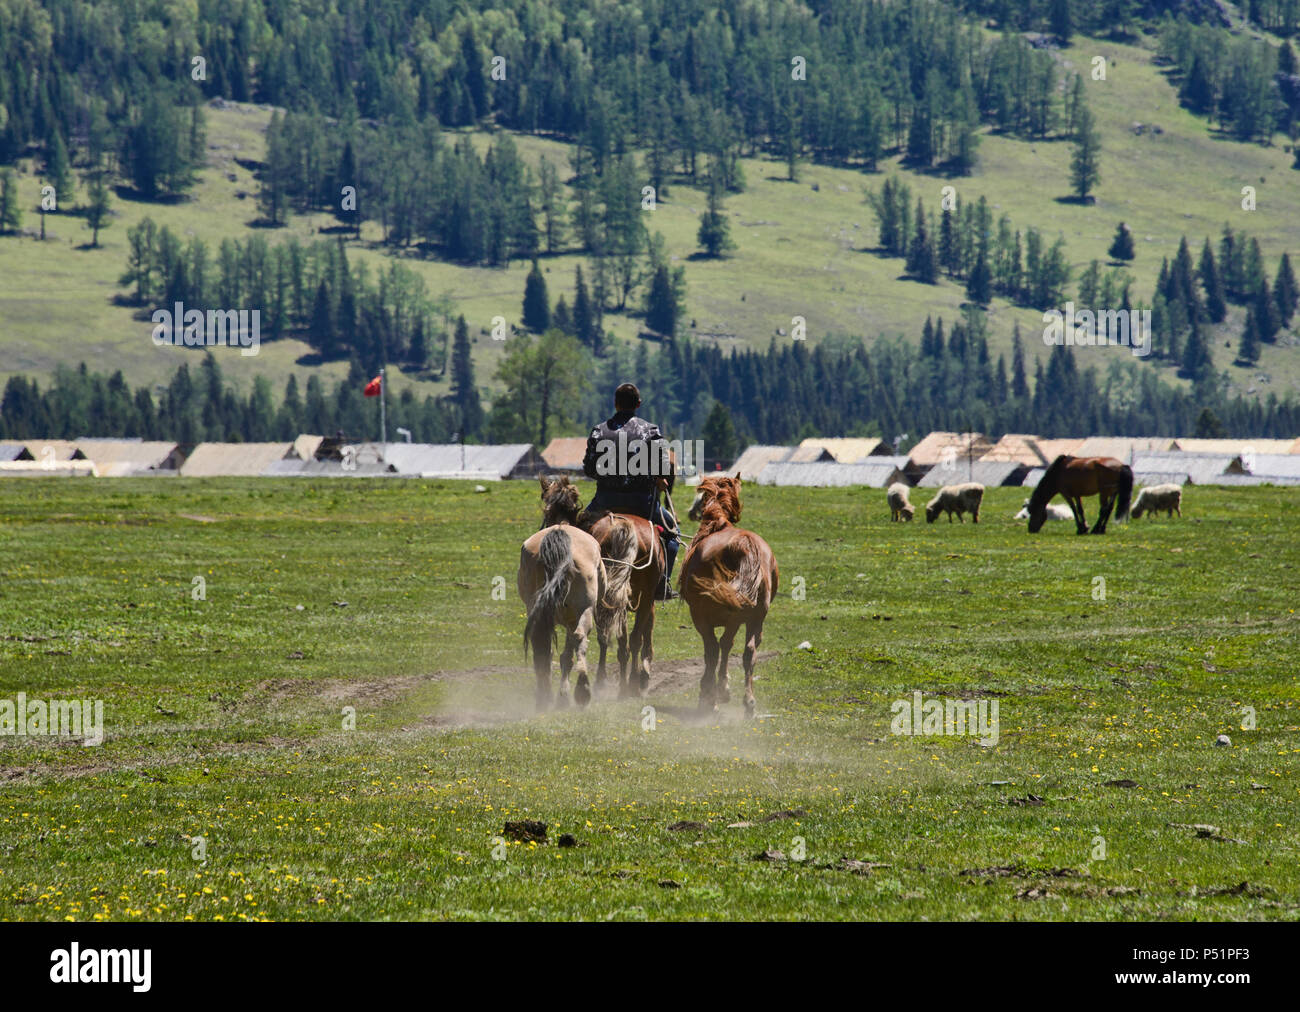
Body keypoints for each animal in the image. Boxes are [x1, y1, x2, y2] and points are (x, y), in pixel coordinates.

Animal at [514, 476, 605, 707]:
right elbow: (567, 654)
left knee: (541, 646)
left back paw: (545, 696)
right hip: (583, 610)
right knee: (579, 638)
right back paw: (581, 689)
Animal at [676, 476, 774, 718]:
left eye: (699, 496)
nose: (692, 512)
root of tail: (744, 543)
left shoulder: (701, 619)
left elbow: (713, 650)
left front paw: (710, 692)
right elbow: (726, 647)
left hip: (722, 616)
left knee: (717, 647)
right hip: (754, 618)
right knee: (749, 652)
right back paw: (748, 702)